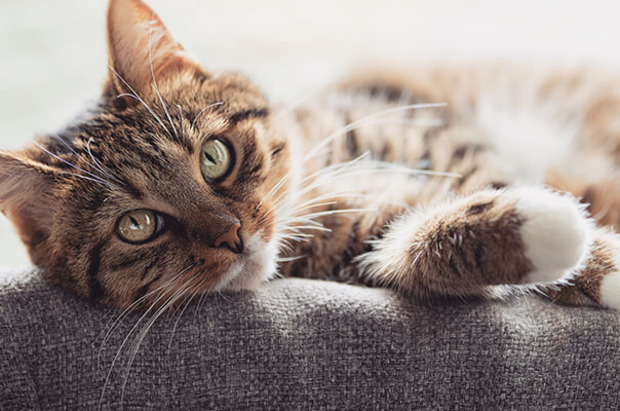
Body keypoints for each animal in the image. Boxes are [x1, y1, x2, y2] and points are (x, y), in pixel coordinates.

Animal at [0, 0, 616, 310]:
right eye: (137, 226)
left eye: (214, 157)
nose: (233, 235)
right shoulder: (355, 246)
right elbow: (414, 243)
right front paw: (549, 232)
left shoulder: (432, 128)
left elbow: (485, 173)